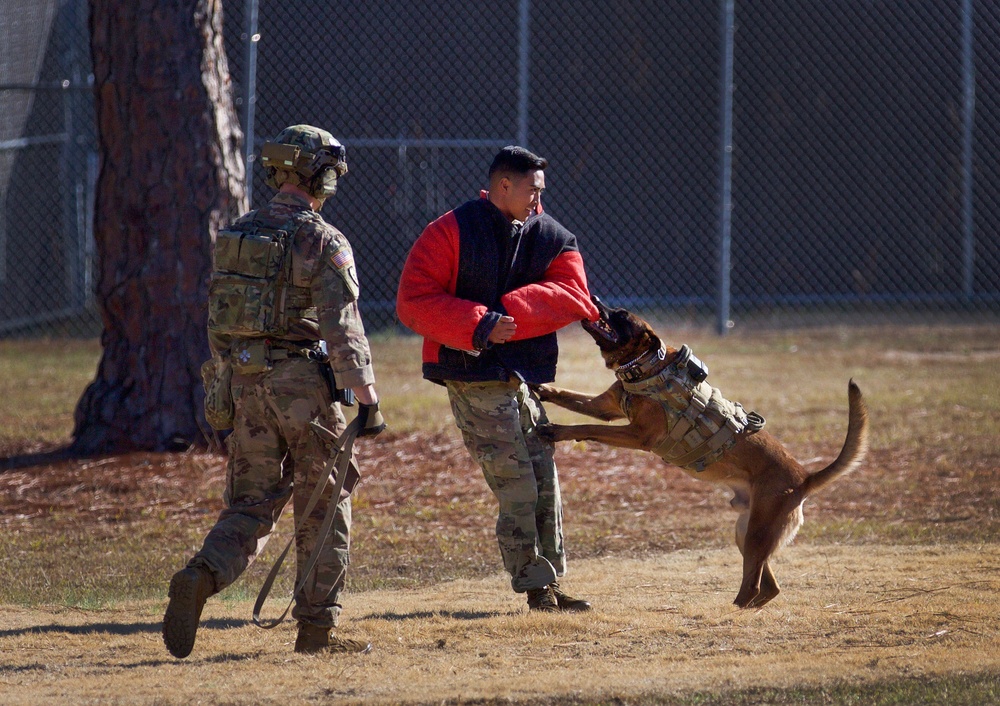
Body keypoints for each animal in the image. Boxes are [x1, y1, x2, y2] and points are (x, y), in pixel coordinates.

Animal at [536, 296, 872, 604]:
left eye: (621, 315)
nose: (594, 298)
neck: (646, 365)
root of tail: (804, 477)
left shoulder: (637, 435)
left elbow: (587, 427)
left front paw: (557, 429)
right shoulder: (603, 408)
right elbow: (567, 395)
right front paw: (540, 388)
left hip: (757, 534)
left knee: (753, 587)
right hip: (746, 532)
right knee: (768, 587)